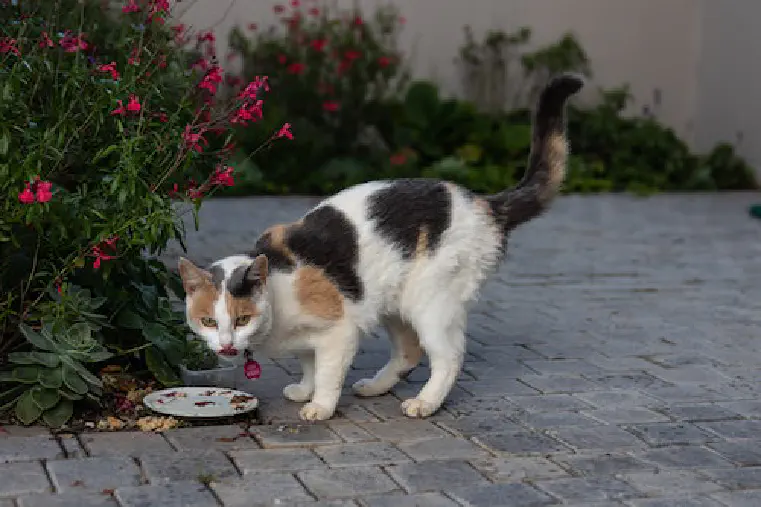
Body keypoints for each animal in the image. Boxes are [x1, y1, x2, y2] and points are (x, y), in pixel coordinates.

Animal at [178, 71, 580, 420]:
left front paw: (319, 405)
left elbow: (327, 373)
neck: (277, 286)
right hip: (393, 302)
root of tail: (484, 203)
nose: (226, 345)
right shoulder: (312, 338)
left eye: (242, 319)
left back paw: (425, 403)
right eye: (209, 321)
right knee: (409, 352)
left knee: (448, 357)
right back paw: (375, 387)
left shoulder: (338, 331)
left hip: (431, 303)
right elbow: (309, 363)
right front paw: (304, 389)